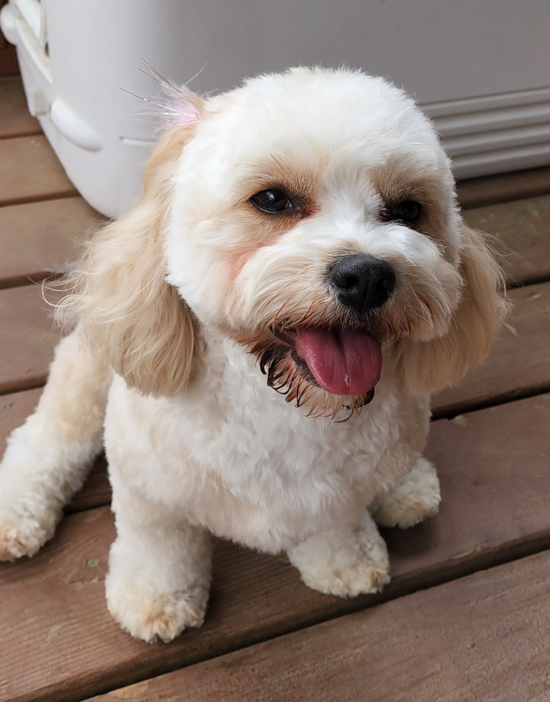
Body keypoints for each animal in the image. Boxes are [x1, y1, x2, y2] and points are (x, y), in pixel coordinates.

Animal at [0, 66, 508, 644]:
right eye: (272, 199)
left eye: (407, 210)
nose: (367, 276)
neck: (286, 410)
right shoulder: (149, 492)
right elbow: (160, 546)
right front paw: (156, 597)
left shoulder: (338, 494)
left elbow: (334, 524)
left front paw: (344, 561)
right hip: (84, 376)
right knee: (49, 438)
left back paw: (406, 485)